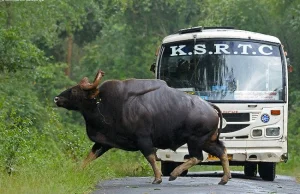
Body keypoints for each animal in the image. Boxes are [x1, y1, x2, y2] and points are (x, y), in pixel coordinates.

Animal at [54, 70, 232, 185]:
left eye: (74, 90)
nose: (57, 98)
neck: (104, 104)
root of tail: (210, 106)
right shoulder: (104, 142)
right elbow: (89, 156)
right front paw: (75, 171)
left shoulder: (143, 139)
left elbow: (150, 157)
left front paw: (158, 178)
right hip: (207, 141)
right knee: (222, 151)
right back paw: (224, 179)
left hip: (195, 140)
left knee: (197, 157)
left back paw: (174, 174)